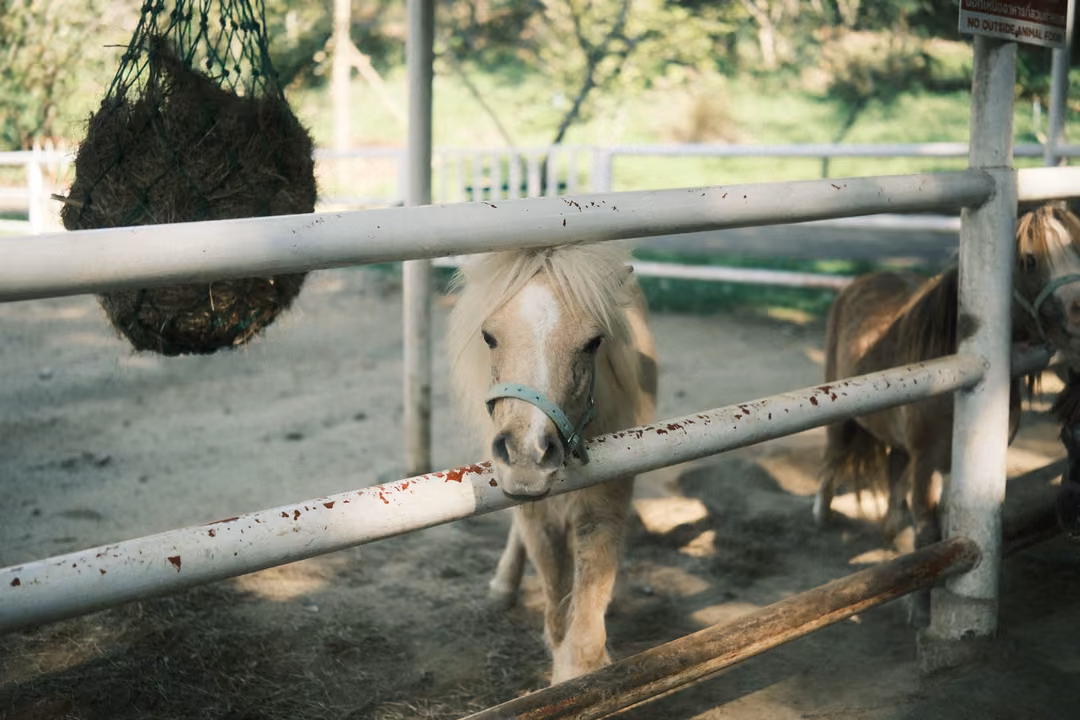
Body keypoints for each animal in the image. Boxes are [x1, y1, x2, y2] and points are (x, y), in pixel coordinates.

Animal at [447, 242, 657, 684]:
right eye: (489, 337)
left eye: (594, 342)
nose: (527, 456)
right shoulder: (536, 515)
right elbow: (557, 599)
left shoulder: (607, 503)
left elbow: (589, 601)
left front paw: (578, 671)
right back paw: (503, 586)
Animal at [814, 205, 1080, 623]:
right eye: (1030, 260)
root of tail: (862, 281)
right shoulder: (928, 463)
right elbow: (928, 528)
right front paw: (922, 611)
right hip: (839, 413)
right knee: (834, 456)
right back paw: (823, 513)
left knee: (893, 469)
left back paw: (892, 533)